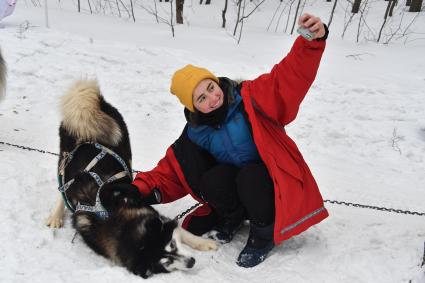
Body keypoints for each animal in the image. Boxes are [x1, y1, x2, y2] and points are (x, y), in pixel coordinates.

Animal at [47, 80, 215, 280]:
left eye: (173, 245)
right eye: (167, 262)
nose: (191, 262)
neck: (113, 218)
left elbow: (183, 231)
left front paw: (203, 243)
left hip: (124, 148)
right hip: (64, 159)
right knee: (62, 187)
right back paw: (56, 215)